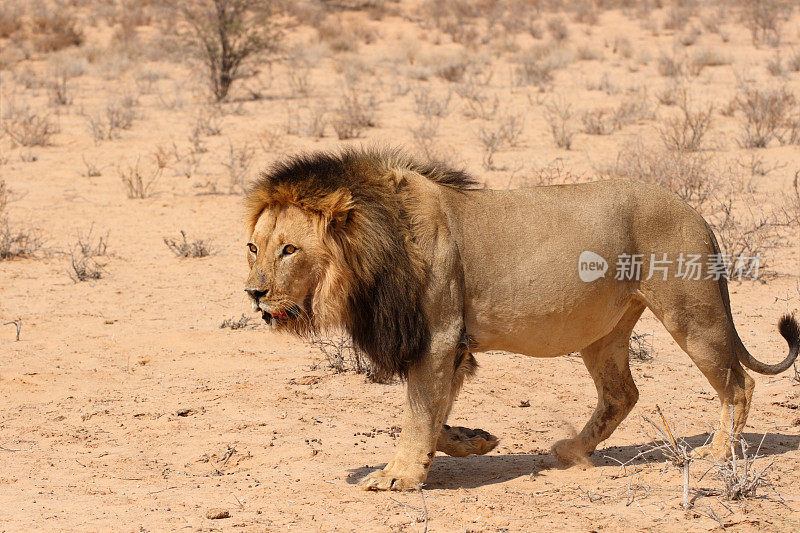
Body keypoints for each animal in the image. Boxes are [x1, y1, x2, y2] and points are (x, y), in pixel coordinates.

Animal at [242, 145, 800, 490]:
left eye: (289, 249)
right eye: (253, 247)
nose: (254, 292)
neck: (373, 248)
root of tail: (697, 213)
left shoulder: (437, 338)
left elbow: (418, 414)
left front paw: (397, 476)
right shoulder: (453, 347)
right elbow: (435, 415)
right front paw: (474, 441)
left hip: (692, 313)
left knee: (738, 384)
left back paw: (716, 454)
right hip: (603, 331)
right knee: (622, 393)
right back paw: (571, 450)